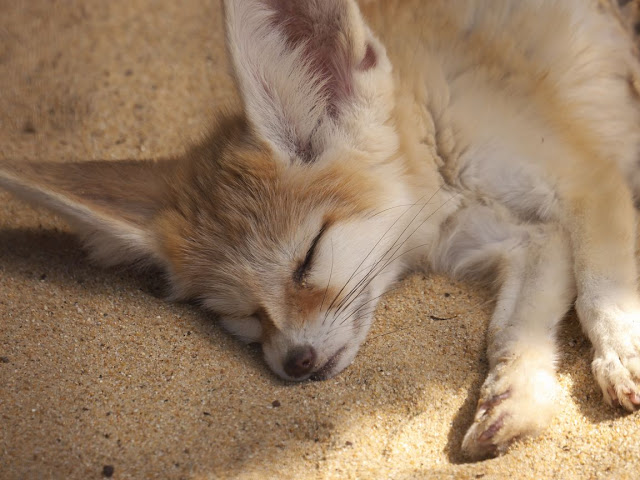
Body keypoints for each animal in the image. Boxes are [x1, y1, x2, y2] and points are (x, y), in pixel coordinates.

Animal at [1, 0, 640, 460]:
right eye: (239, 315)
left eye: (308, 256)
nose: (294, 362)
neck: (433, 129)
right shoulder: (511, 236)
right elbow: (513, 331)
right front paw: (514, 401)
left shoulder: (586, 183)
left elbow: (602, 292)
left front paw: (623, 354)